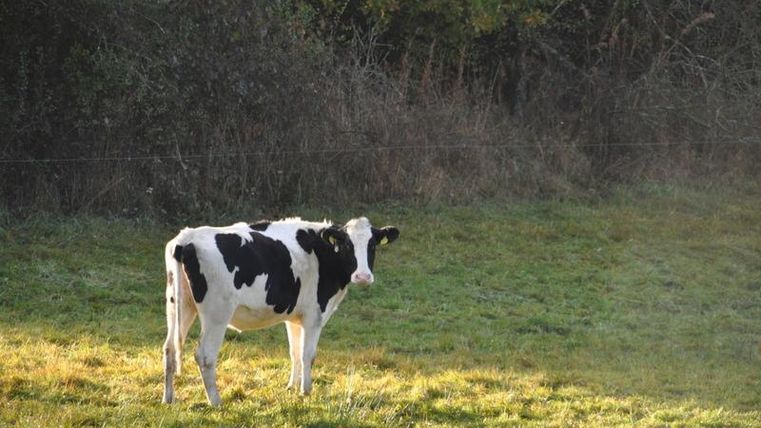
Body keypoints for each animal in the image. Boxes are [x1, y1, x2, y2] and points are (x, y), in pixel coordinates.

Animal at [161, 216, 399, 406]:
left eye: (372, 246)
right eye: (347, 245)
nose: (362, 276)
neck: (322, 254)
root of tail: (187, 238)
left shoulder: (293, 318)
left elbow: (294, 352)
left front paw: (291, 387)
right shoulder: (314, 316)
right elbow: (307, 354)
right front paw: (306, 391)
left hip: (179, 306)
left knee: (169, 348)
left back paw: (168, 398)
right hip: (216, 315)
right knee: (205, 356)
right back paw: (215, 401)